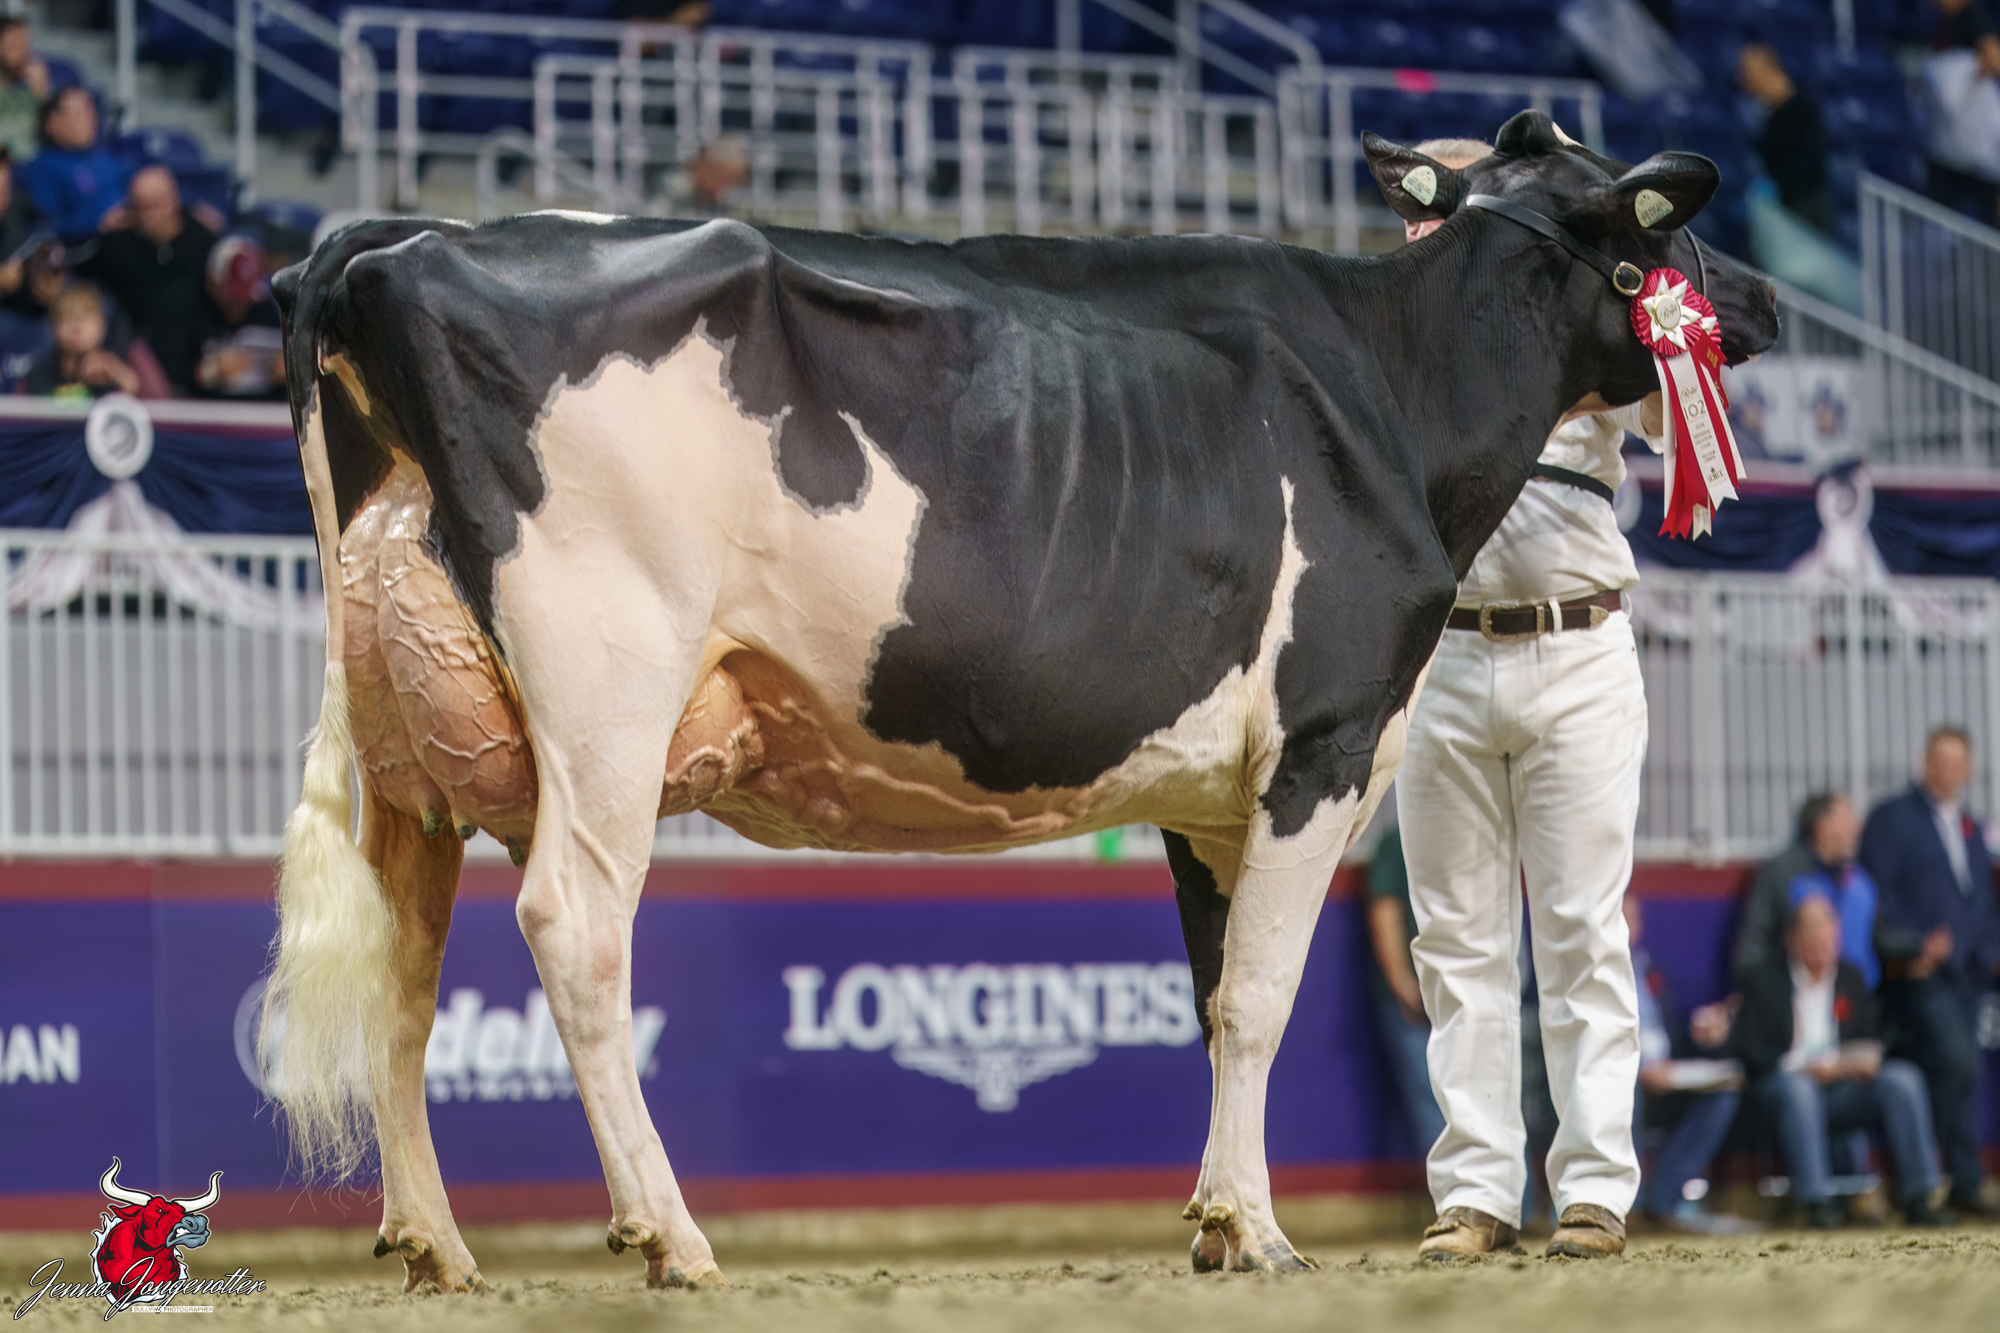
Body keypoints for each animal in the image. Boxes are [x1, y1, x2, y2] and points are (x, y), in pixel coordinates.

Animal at [261, 111, 1777, 1291]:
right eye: (1660, 229)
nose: (1758, 302)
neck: (1396, 399)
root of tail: (388, 245)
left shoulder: (1206, 795)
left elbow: (1212, 993)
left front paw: (1215, 1224)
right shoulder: (1324, 741)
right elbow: (1260, 999)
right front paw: (1259, 1229)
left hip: (403, 740)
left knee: (404, 968)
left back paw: (437, 1246)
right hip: (607, 683)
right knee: (574, 928)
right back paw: (670, 1235)